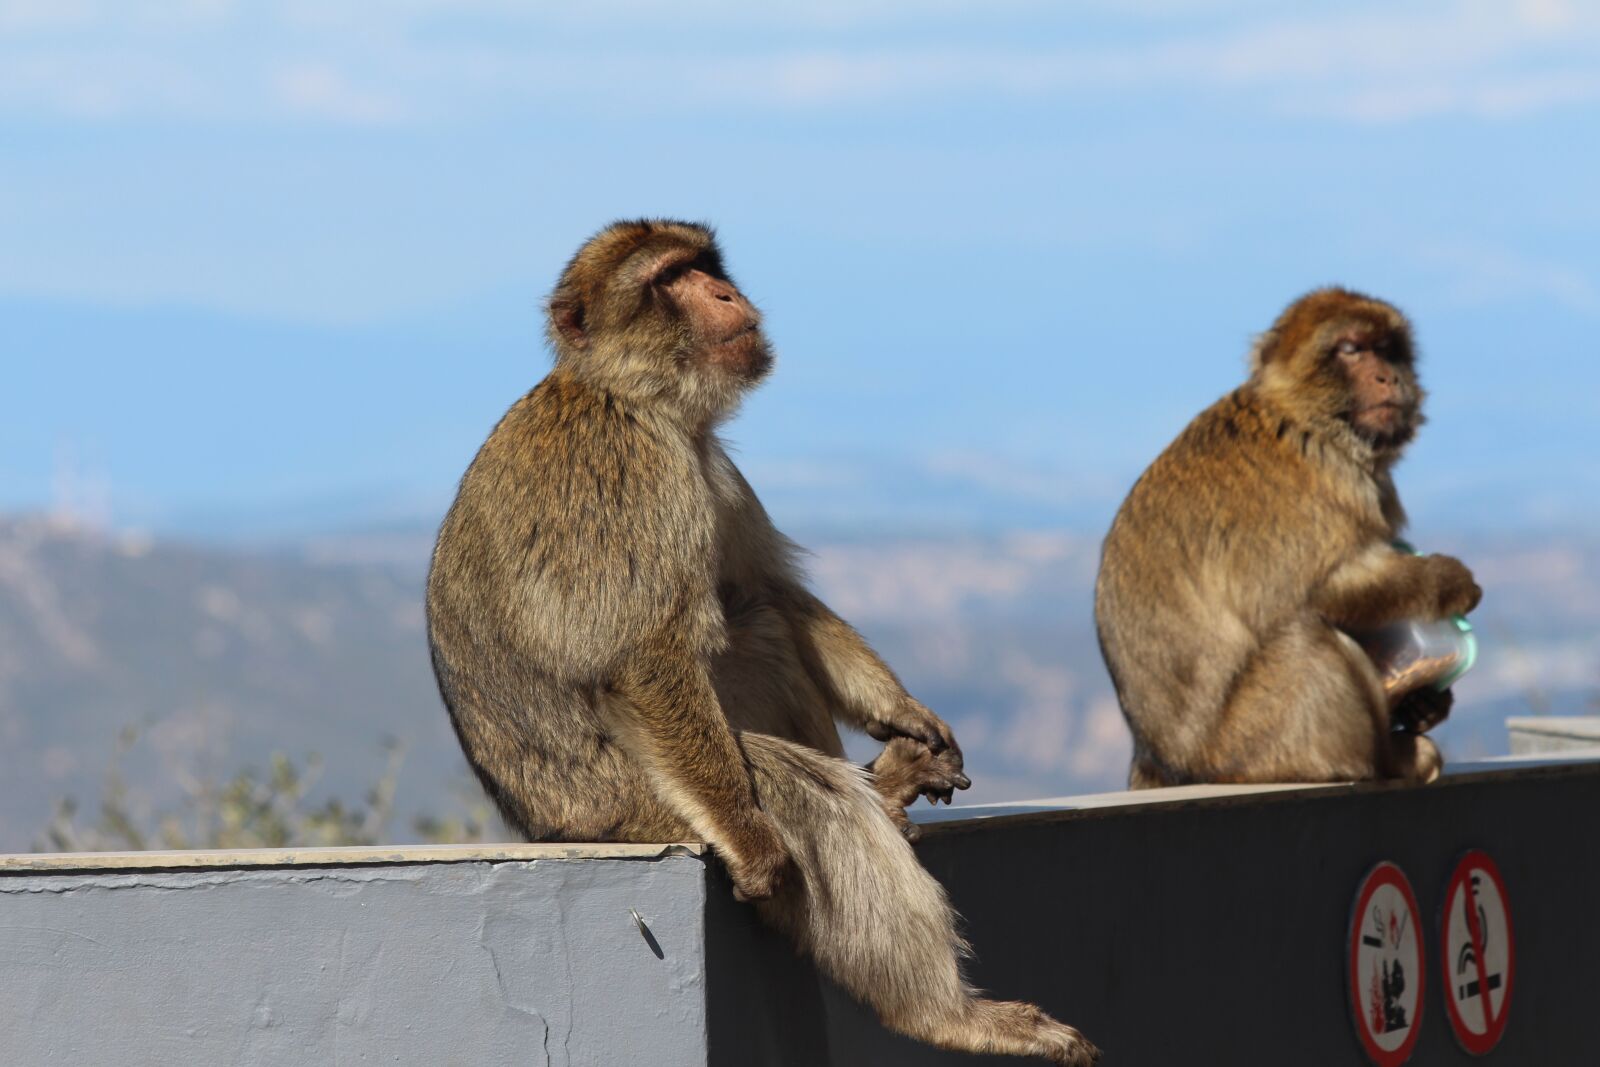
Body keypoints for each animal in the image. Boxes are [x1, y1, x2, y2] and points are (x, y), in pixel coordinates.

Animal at [425, 220, 1100, 1062]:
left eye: (705, 265)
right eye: (669, 278)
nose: (725, 292)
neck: (639, 399)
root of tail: (541, 823)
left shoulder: (707, 462)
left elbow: (768, 590)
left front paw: (902, 712)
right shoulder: (628, 466)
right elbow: (642, 658)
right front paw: (756, 842)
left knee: (764, 626)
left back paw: (890, 790)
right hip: (633, 801)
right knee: (804, 796)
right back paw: (946, 1013)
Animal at [1094, 287, 1478, 790]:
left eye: (1387, 348)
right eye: (1351, 349)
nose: (1388, 376)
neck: (1302, 417)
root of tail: (1163, 761)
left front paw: (1423, 703)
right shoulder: (1323, 480)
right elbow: (1320, 590)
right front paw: (1448, 582)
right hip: (1252, 745)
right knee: (1305, 640)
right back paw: (1392, 761)